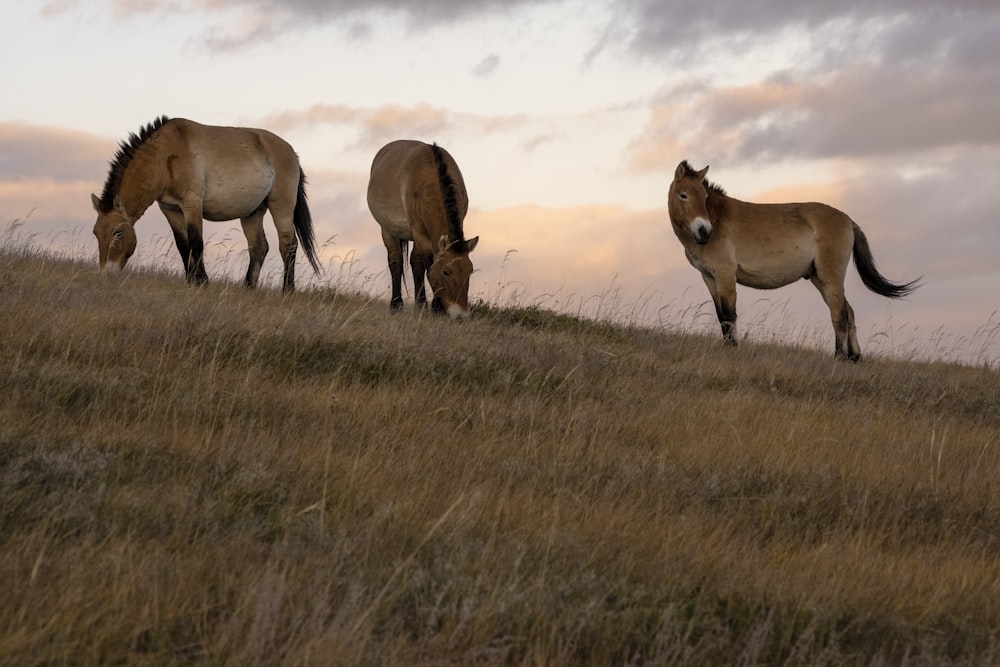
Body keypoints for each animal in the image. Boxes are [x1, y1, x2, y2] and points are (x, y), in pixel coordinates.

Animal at [90, 115, 318, 292]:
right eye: (96, 233)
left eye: (118, 232)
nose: (105, 274)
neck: (166, 155)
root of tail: (292, 153)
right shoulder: (170, 209)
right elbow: (183, 245)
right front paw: (190, 280)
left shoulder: (192, 205)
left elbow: (196, 242)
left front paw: (202, 282)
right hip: (252, 213)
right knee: (259, 247)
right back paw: (248, 287)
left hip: (282, 206)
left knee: (288, 244)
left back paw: (287, 290)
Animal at [368, 140, 480, 320]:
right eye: (446, 272)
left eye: (469, 272)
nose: (461, 315)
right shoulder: (420, 234)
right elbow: (428, 266)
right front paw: (435, 306)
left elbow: (420, 265)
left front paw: (428, 305)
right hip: (388, 231)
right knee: (396, 261)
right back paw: (396, 305)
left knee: (414, 262)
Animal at [668, 160, 916, 360]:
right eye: (684, 195)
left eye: (704, 197)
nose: (704, 231)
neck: (718, 220)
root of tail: (848, 220)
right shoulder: (709, 277)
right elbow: (721, 316)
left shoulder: (726, 275)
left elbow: (730, 314)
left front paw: (734, 350)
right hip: (819, 279)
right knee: (849, 311)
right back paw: (855, 358)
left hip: (831, 278)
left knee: (840, 314)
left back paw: (838, 357)